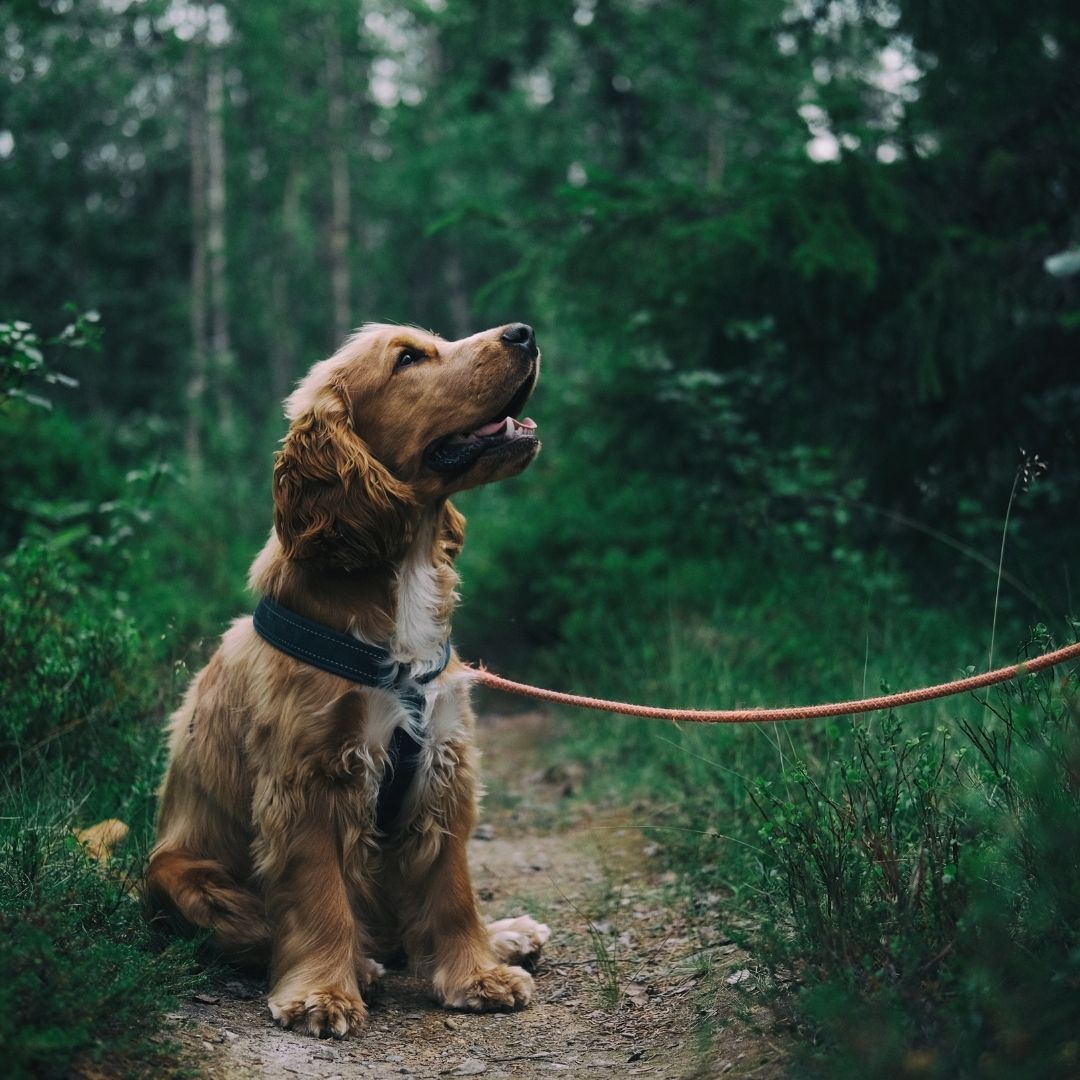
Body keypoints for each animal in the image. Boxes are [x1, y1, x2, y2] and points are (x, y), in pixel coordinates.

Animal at [145, 319, 548, 1036]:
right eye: (409, 358)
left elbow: (452, 889)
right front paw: (323, 994)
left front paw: (478, 974)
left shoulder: (444, 762)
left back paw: (505, 935)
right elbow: (319, 896)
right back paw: (361, 964)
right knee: (269, 929)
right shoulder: (309, 778)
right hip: (178, 873)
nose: (524, 332)